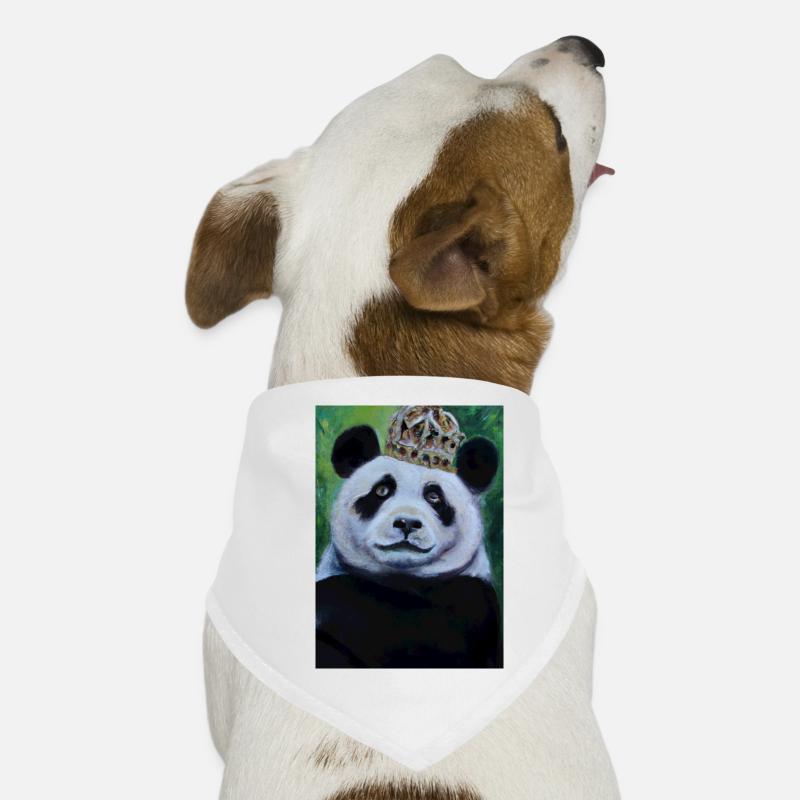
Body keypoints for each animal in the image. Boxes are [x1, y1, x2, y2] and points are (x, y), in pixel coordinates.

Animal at [316, 423, 502, 668]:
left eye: (434, 496)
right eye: (382, 490)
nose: (407, 523)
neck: (401, 579)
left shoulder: (472, 601)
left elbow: (427, 634)